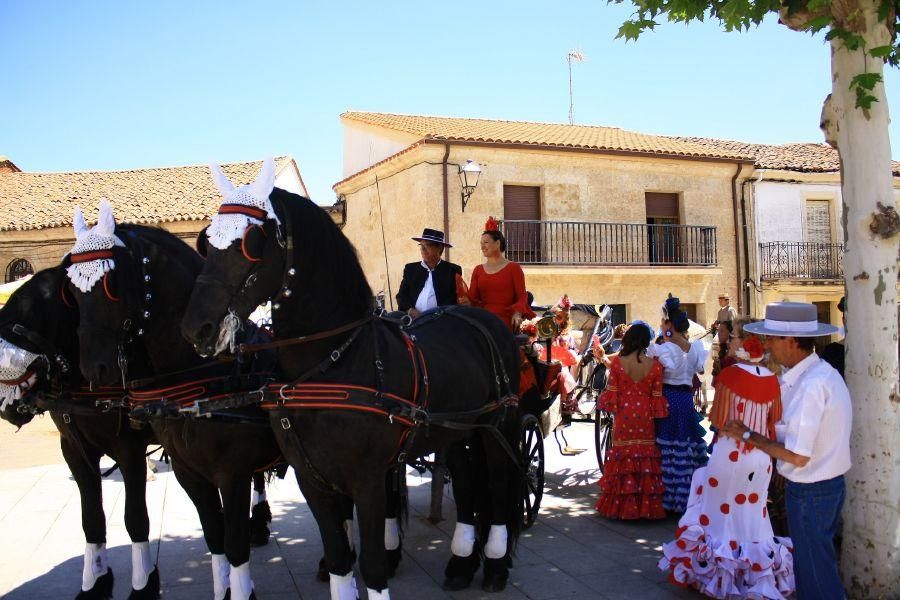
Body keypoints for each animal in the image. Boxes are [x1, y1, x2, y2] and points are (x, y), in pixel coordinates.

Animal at [0, 268, 160, 600]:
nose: (6, 409)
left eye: (32, 311)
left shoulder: (129, 447)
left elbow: (135, 517)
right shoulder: (74, 449)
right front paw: (95, 582)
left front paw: (144, 582)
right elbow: (92, 518)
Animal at [65, 203, 284, 600]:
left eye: (111, 284)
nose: (94, 367)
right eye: (71, 291)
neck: (201, 374)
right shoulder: (187, 472)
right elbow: (214, 535)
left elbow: (233, 543)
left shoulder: (230, 474)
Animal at [180, 162, 524, 596]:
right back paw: (462, 563)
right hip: (459, 431)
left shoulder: (368, 479)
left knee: (499, 486)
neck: (331, 362)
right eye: (207, 240)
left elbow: (373, 565)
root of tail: (480, 317)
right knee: (465, 483)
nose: (196, 328)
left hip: (499, 427)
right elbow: (341, 561)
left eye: (251, 242)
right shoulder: (312, 480)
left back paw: (495, 563)